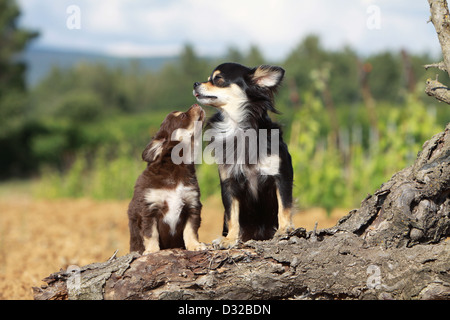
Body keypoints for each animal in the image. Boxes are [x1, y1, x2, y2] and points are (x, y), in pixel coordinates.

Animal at [127, 104, 207, 254]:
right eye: (182, 116)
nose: (196, 104)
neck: (176, 166)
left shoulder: (192, 205)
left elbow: (190, 230)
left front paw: (195, 246)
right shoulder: (149, 209)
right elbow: (150, 233)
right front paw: (152, 251)